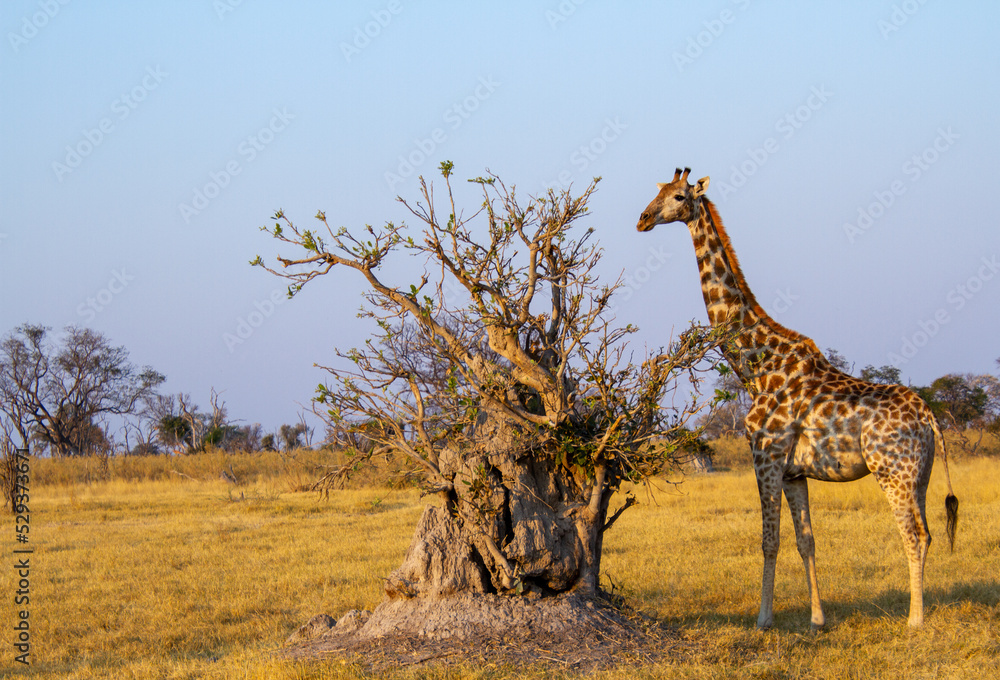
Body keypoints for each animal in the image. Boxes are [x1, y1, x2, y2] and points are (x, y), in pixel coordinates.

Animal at [636, 167, 959, 629]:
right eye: (657, 191)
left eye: (679, 196)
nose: (642, 219)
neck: (756, 366)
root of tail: (929, 418)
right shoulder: (794, 472)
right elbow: (807, 540)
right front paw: (817, 618)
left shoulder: (765, 457)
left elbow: (769, 540)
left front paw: (763, 618)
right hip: (922, 473)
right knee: (929, 532)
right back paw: (918, 611)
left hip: (891, 471)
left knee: (913, 534)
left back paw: (915, 620)